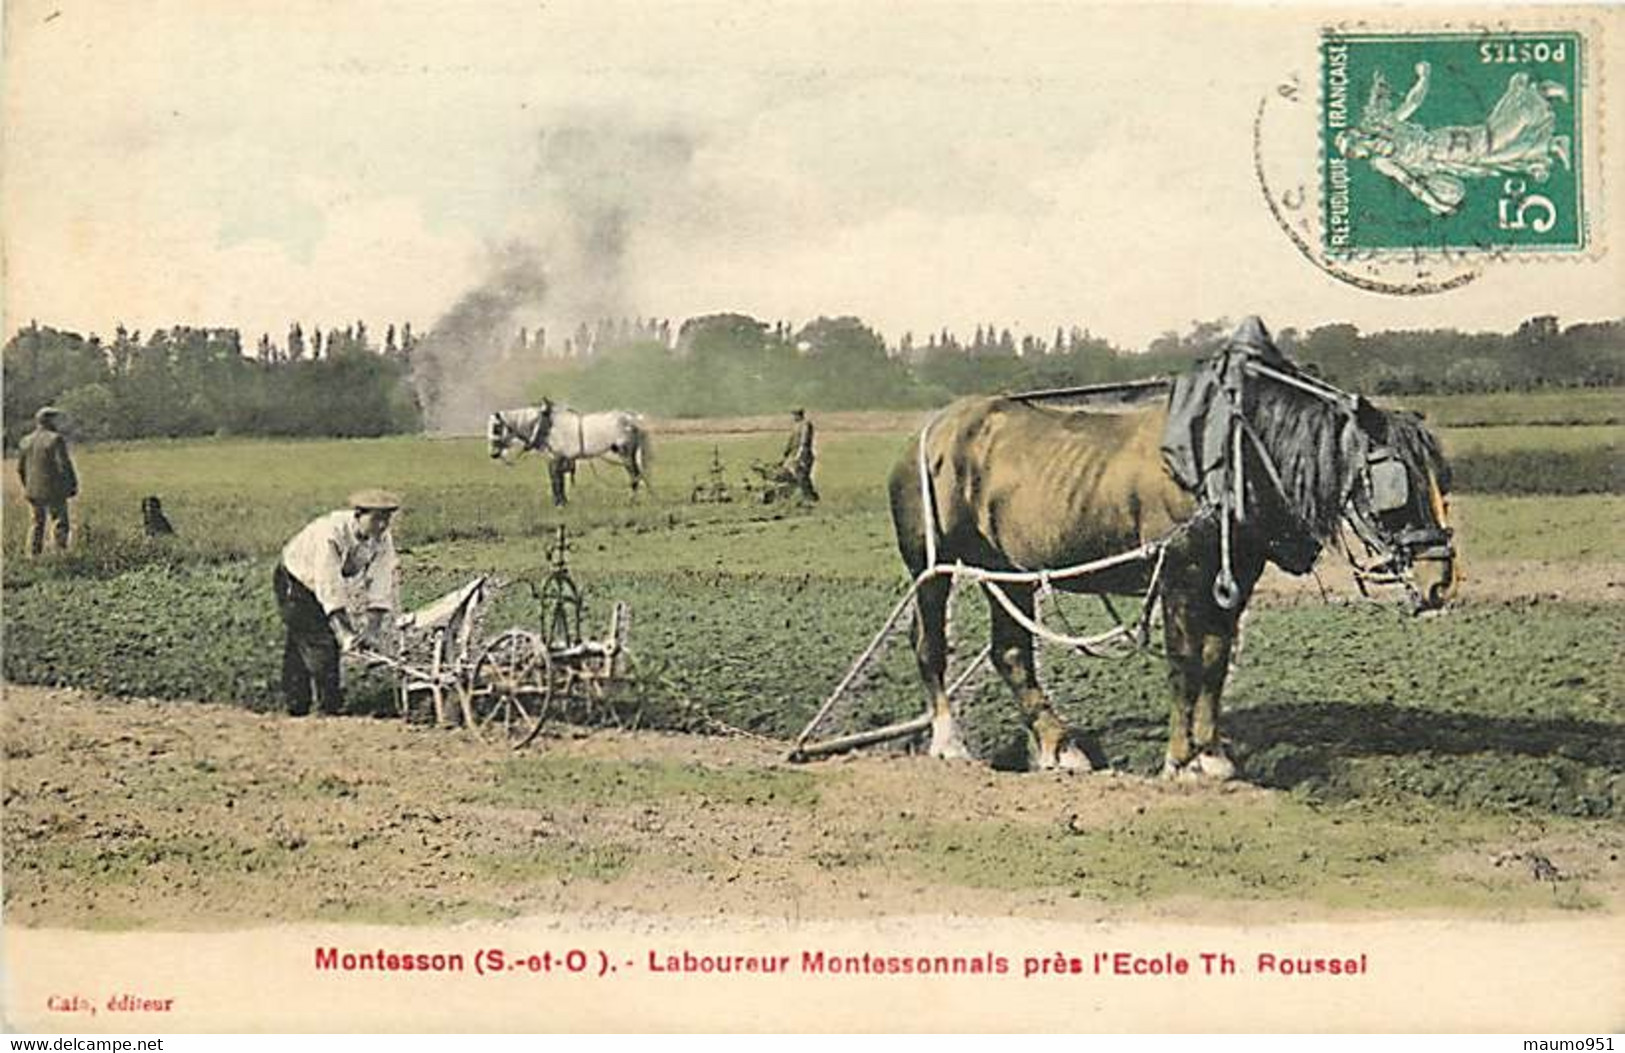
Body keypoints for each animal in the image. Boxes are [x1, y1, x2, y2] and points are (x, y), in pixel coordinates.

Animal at [484, 399, 650, 507]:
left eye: (496, 428)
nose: (493, 454)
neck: (546, 426)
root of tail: (631, 419)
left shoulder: (555, 458)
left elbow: (556, 480)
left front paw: (559, 503)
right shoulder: (559, 458)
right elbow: (560, 480)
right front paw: (563, 502)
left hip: (625, 454)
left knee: (635, 476)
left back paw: (630, 501)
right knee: (637, 475)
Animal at [890, 316, 1462, 776]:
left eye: (1442, 478)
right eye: (1395, 481)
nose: (1439, 580)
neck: (1226, 455)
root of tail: (932, 428)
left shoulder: (1231, 579)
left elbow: (1214, 659)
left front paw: (1212, 755)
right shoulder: (1179, 574)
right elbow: (1184, 663)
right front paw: (1179, 759)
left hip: (1010, 572)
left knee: (1010, 652)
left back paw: (1060, 746)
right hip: (933, 566)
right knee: (930, 644)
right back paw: (949, 742)